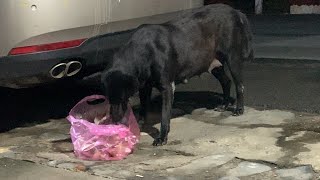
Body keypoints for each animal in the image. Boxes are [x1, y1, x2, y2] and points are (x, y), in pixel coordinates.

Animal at [101, 4, 254, 146]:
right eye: (109, 99)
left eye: (122, 99)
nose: (114, 122)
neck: (143, 52)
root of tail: (235, 11)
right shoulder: (144, 87)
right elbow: (144, 107)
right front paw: (139, 123)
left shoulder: (167, 88)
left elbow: (164, 115)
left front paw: (162, 137)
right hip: (212, 63)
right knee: (226, 81)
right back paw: (224, 104)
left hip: (232, 58)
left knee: (239, 85)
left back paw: (239, 109)